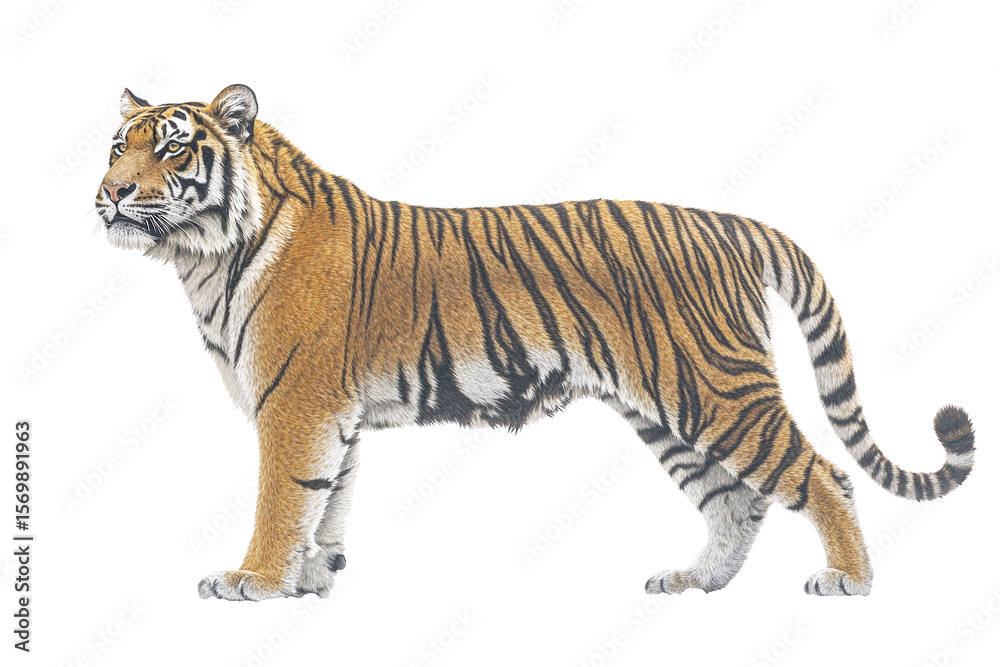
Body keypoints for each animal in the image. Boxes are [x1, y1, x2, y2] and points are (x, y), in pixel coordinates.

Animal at [95, 84, 976, 601]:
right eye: (116, 145)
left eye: (171, 146)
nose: (109, 193)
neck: (202, 256)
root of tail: (729, 223)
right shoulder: (332, 410)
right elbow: (329, 498)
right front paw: (314, 579)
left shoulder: (297, 401)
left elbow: (284, 496)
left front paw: (253, 579)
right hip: (670, 410)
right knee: (739, 497)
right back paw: (695, 579)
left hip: (719, 390)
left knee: (822, 474)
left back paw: (847, 579)